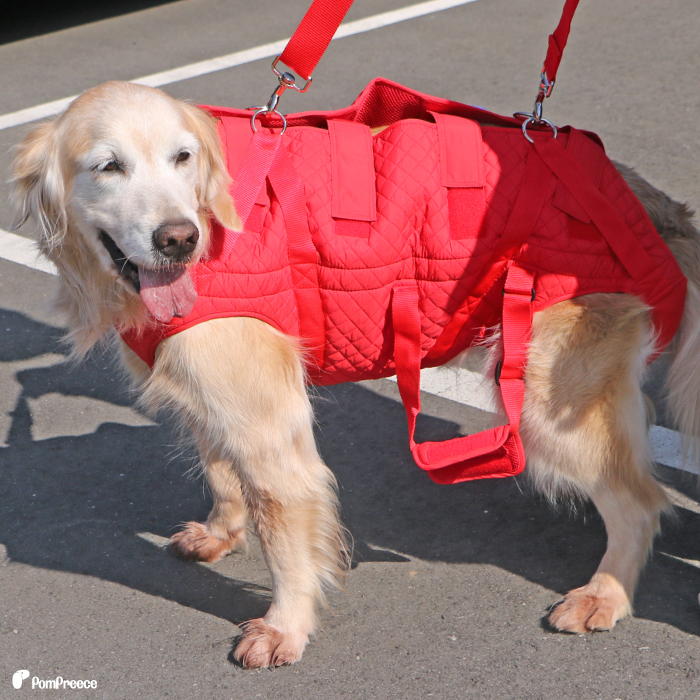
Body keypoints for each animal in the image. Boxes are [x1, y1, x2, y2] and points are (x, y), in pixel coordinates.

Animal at [9, 80, 700, 668]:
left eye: (183, 157)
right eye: (108, 167)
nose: (179, 239)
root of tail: (641, 193)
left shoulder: (269, 429)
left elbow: (284, 538)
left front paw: (285, 626)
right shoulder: (214, 401)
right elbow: (222, 473)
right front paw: (222, 531)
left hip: (545, 406)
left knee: (641, 504)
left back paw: (605, 592)